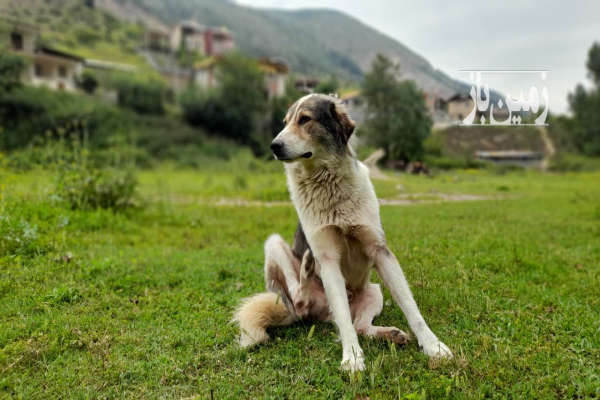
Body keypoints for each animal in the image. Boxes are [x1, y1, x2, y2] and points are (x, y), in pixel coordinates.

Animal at [233, 93, 450, 372]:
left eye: (305, 119)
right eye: (285, 122)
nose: (274, 146)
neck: (327, 181)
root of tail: (316, 312)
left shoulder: (381, 252)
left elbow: (411, 307)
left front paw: (433, 346)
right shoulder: (328, 260)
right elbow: (344, 321)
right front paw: (352, 358)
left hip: (374, 290)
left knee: (360, 325)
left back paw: (390, 334)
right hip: (274, 246)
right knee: (300, 298)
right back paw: (306, 269)